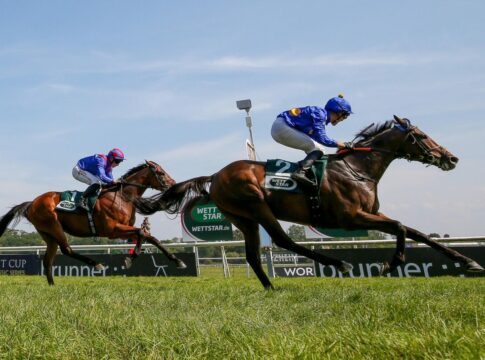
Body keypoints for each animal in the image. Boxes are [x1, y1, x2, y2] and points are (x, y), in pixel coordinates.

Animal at [0, 160, 185, 284]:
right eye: (160, 173)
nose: (173, 183)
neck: (122, 196)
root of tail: (31, 203)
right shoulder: (112, 230)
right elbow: (142, 232)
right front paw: (129, 260)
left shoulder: (123, 230)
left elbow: (149, 236)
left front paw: (178, 261)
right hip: (53, 226)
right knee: (66, 250)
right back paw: (97, 265)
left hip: (47, 233)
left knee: (48, 260)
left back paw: (52, 285)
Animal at [135, 116, 484, 288]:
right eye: (421, 136)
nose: (451, 158)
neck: (357, 169)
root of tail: (216, 174)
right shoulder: (350, 217)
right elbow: (399, 227)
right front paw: (391, 264)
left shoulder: (370, 213)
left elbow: (416, 232)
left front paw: (468, 262)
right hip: (256, 205)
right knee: (282, 240)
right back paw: (338, 264)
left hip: (242, 218)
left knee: (253, 254)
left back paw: (272, 288)